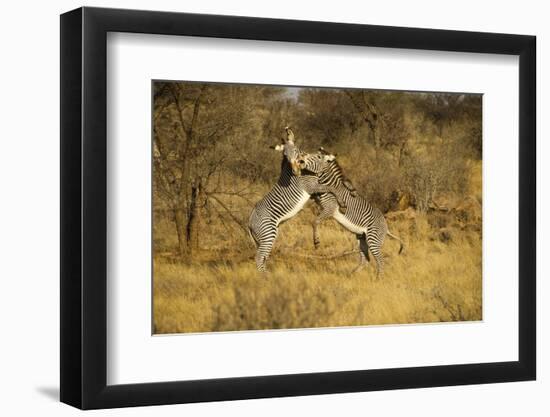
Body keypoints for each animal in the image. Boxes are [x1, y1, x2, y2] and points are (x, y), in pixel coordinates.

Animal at [251, 127, 350, 272]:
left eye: (296, 152)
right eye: (286, 156)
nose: (296, 171)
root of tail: (249, 222)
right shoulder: (311, 186)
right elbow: (331, 187)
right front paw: (342, 202)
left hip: (264, 237)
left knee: (262, 258)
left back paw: (266, 273)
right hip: (268, 233)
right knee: (258, 258)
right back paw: (266, 276)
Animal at [302, 148, 406, 278]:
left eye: (316, 157)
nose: (301, 159)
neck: (328, 183)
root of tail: (386, 227)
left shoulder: (330, 208)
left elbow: (315, 221)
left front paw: (316, 242)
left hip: (373, 240)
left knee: (380, 260)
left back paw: (378, 279)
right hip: (362, 238)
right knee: (365, 259)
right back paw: (352, 275)